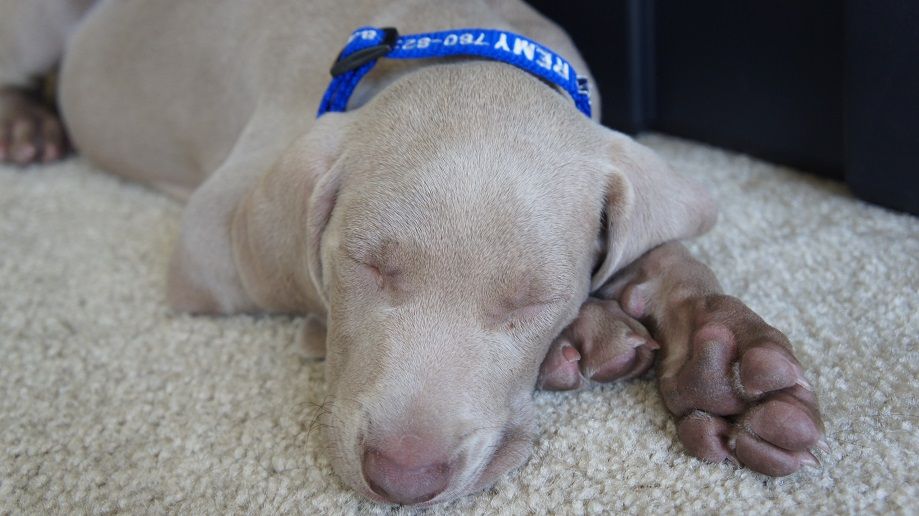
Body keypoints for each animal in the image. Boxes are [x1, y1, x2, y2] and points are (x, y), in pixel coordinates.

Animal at [0, 0, 832, 506]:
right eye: (365, 264)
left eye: (533, 299)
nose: (403, 480)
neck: (458, 38)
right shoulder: (214, 231)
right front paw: (592, 333)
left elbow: (660, 247)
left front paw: (721, 361)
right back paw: (27, 123)